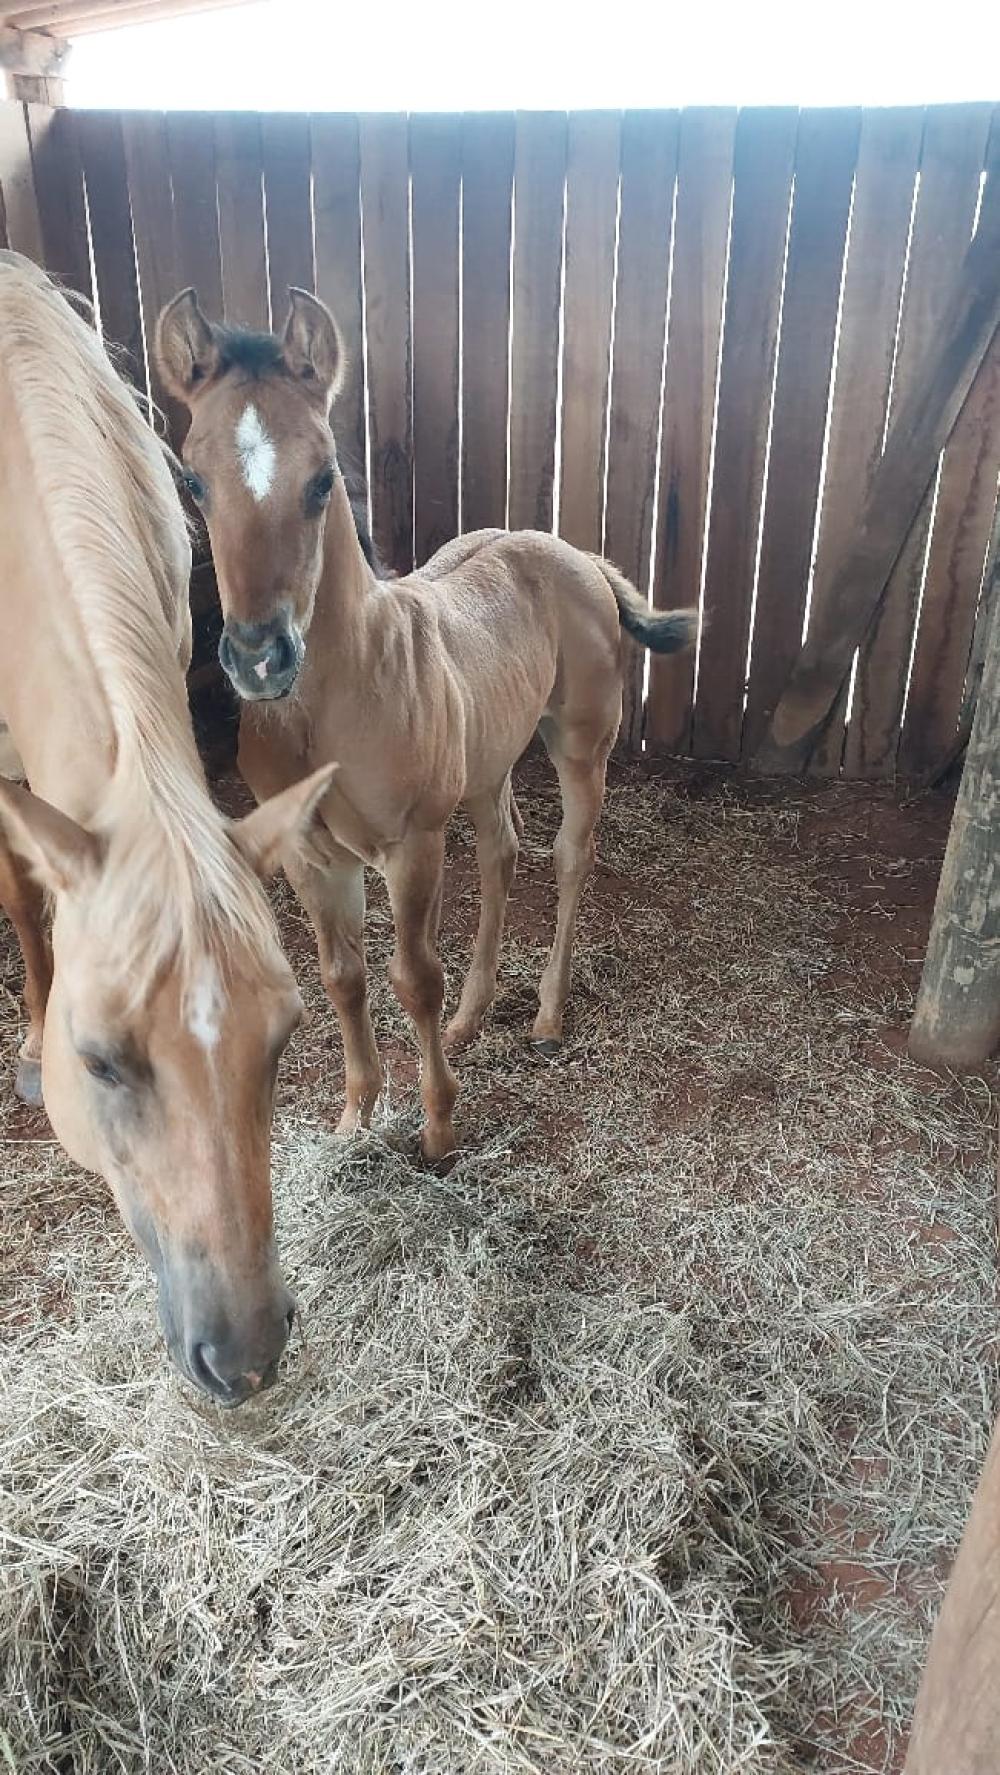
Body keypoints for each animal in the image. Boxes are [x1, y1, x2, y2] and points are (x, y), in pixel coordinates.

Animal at [156, 286, 695, 1164]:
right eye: (195, 481)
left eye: (323, 479)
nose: (260, 657)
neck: (330, 707)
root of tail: (580, 555)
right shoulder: (310, 851)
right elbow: (341, 975)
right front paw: (355, 1115)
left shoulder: (411, 842)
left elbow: (413, 977)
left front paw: (439, 1124)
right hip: (487, 757)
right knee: (504, 848)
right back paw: (475, 1015)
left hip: (581, 740)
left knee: (570, 852)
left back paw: (547, 1015)